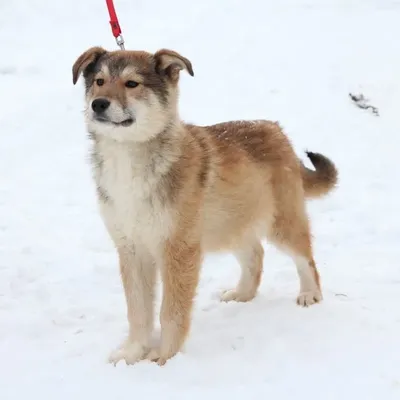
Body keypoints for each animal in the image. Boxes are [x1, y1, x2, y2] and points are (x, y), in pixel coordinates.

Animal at [72, 46, 338, 366]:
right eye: (99, 81)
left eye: (132, 83)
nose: (98, 104)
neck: (128, 157)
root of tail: (274, 129)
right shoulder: (131, 249)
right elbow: (137, 311)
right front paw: (132, 352)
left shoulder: (178, 249)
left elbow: (171, 312)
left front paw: (164, 356)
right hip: (231, 224)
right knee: (256, 255)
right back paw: (242, 295)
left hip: (281, 223)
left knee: (305, 258)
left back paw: (310, 294)